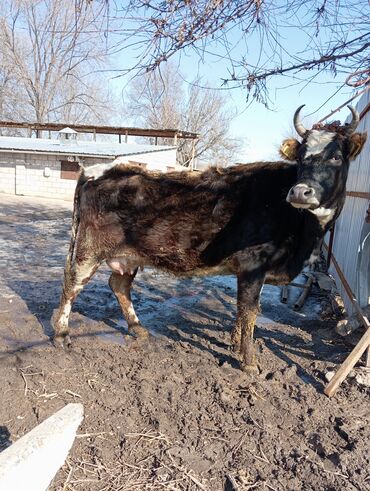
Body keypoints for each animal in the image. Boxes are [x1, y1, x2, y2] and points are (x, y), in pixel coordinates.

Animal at [53, 104, 366, 372]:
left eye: (337, 157)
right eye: (301, 157)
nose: (300, 191)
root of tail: (94, 170)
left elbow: (242, 311)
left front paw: (234, 345)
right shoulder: (253, 266)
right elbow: (249, 311)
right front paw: (249, 362)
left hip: (129, 254)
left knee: (118, 285)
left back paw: (138, 329)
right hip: (88, 249)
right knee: (71, 283)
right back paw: (61, 334)